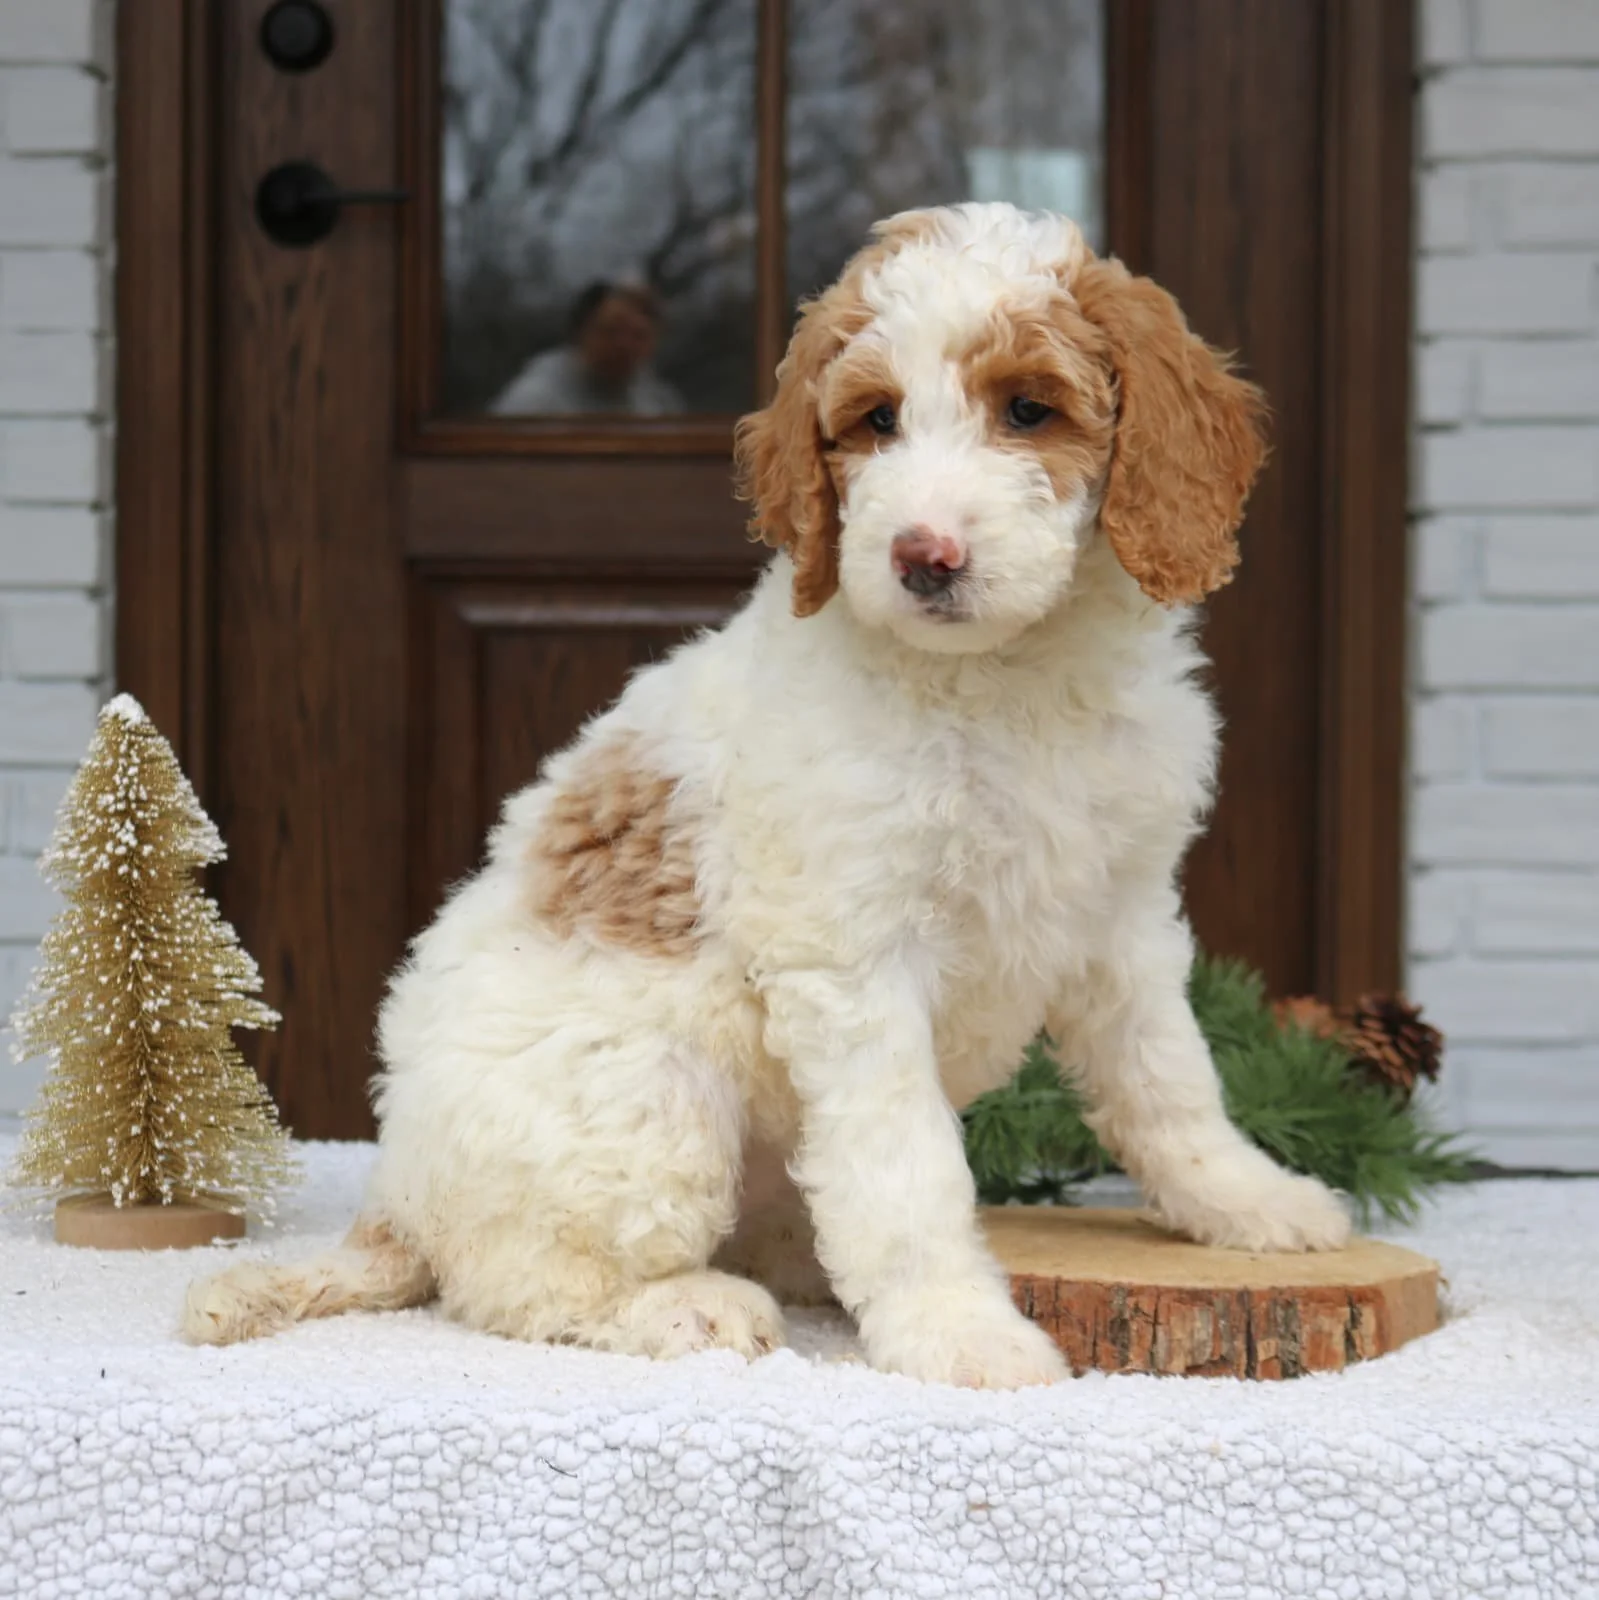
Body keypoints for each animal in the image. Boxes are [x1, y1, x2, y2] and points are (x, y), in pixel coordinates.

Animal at [184, 203, 1349, 1388]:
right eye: (875, 420)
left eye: (1029, 409)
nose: (922, 556)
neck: (1008, 675)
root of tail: (393, 1195)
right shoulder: (856, 959)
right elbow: (907, 1164)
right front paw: (958, 1330)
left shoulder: (1121, 914)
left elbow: (1169, 1077)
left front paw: (1250, 1201)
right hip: (650, 1096)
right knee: (521, 1281)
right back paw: (690, 1309)